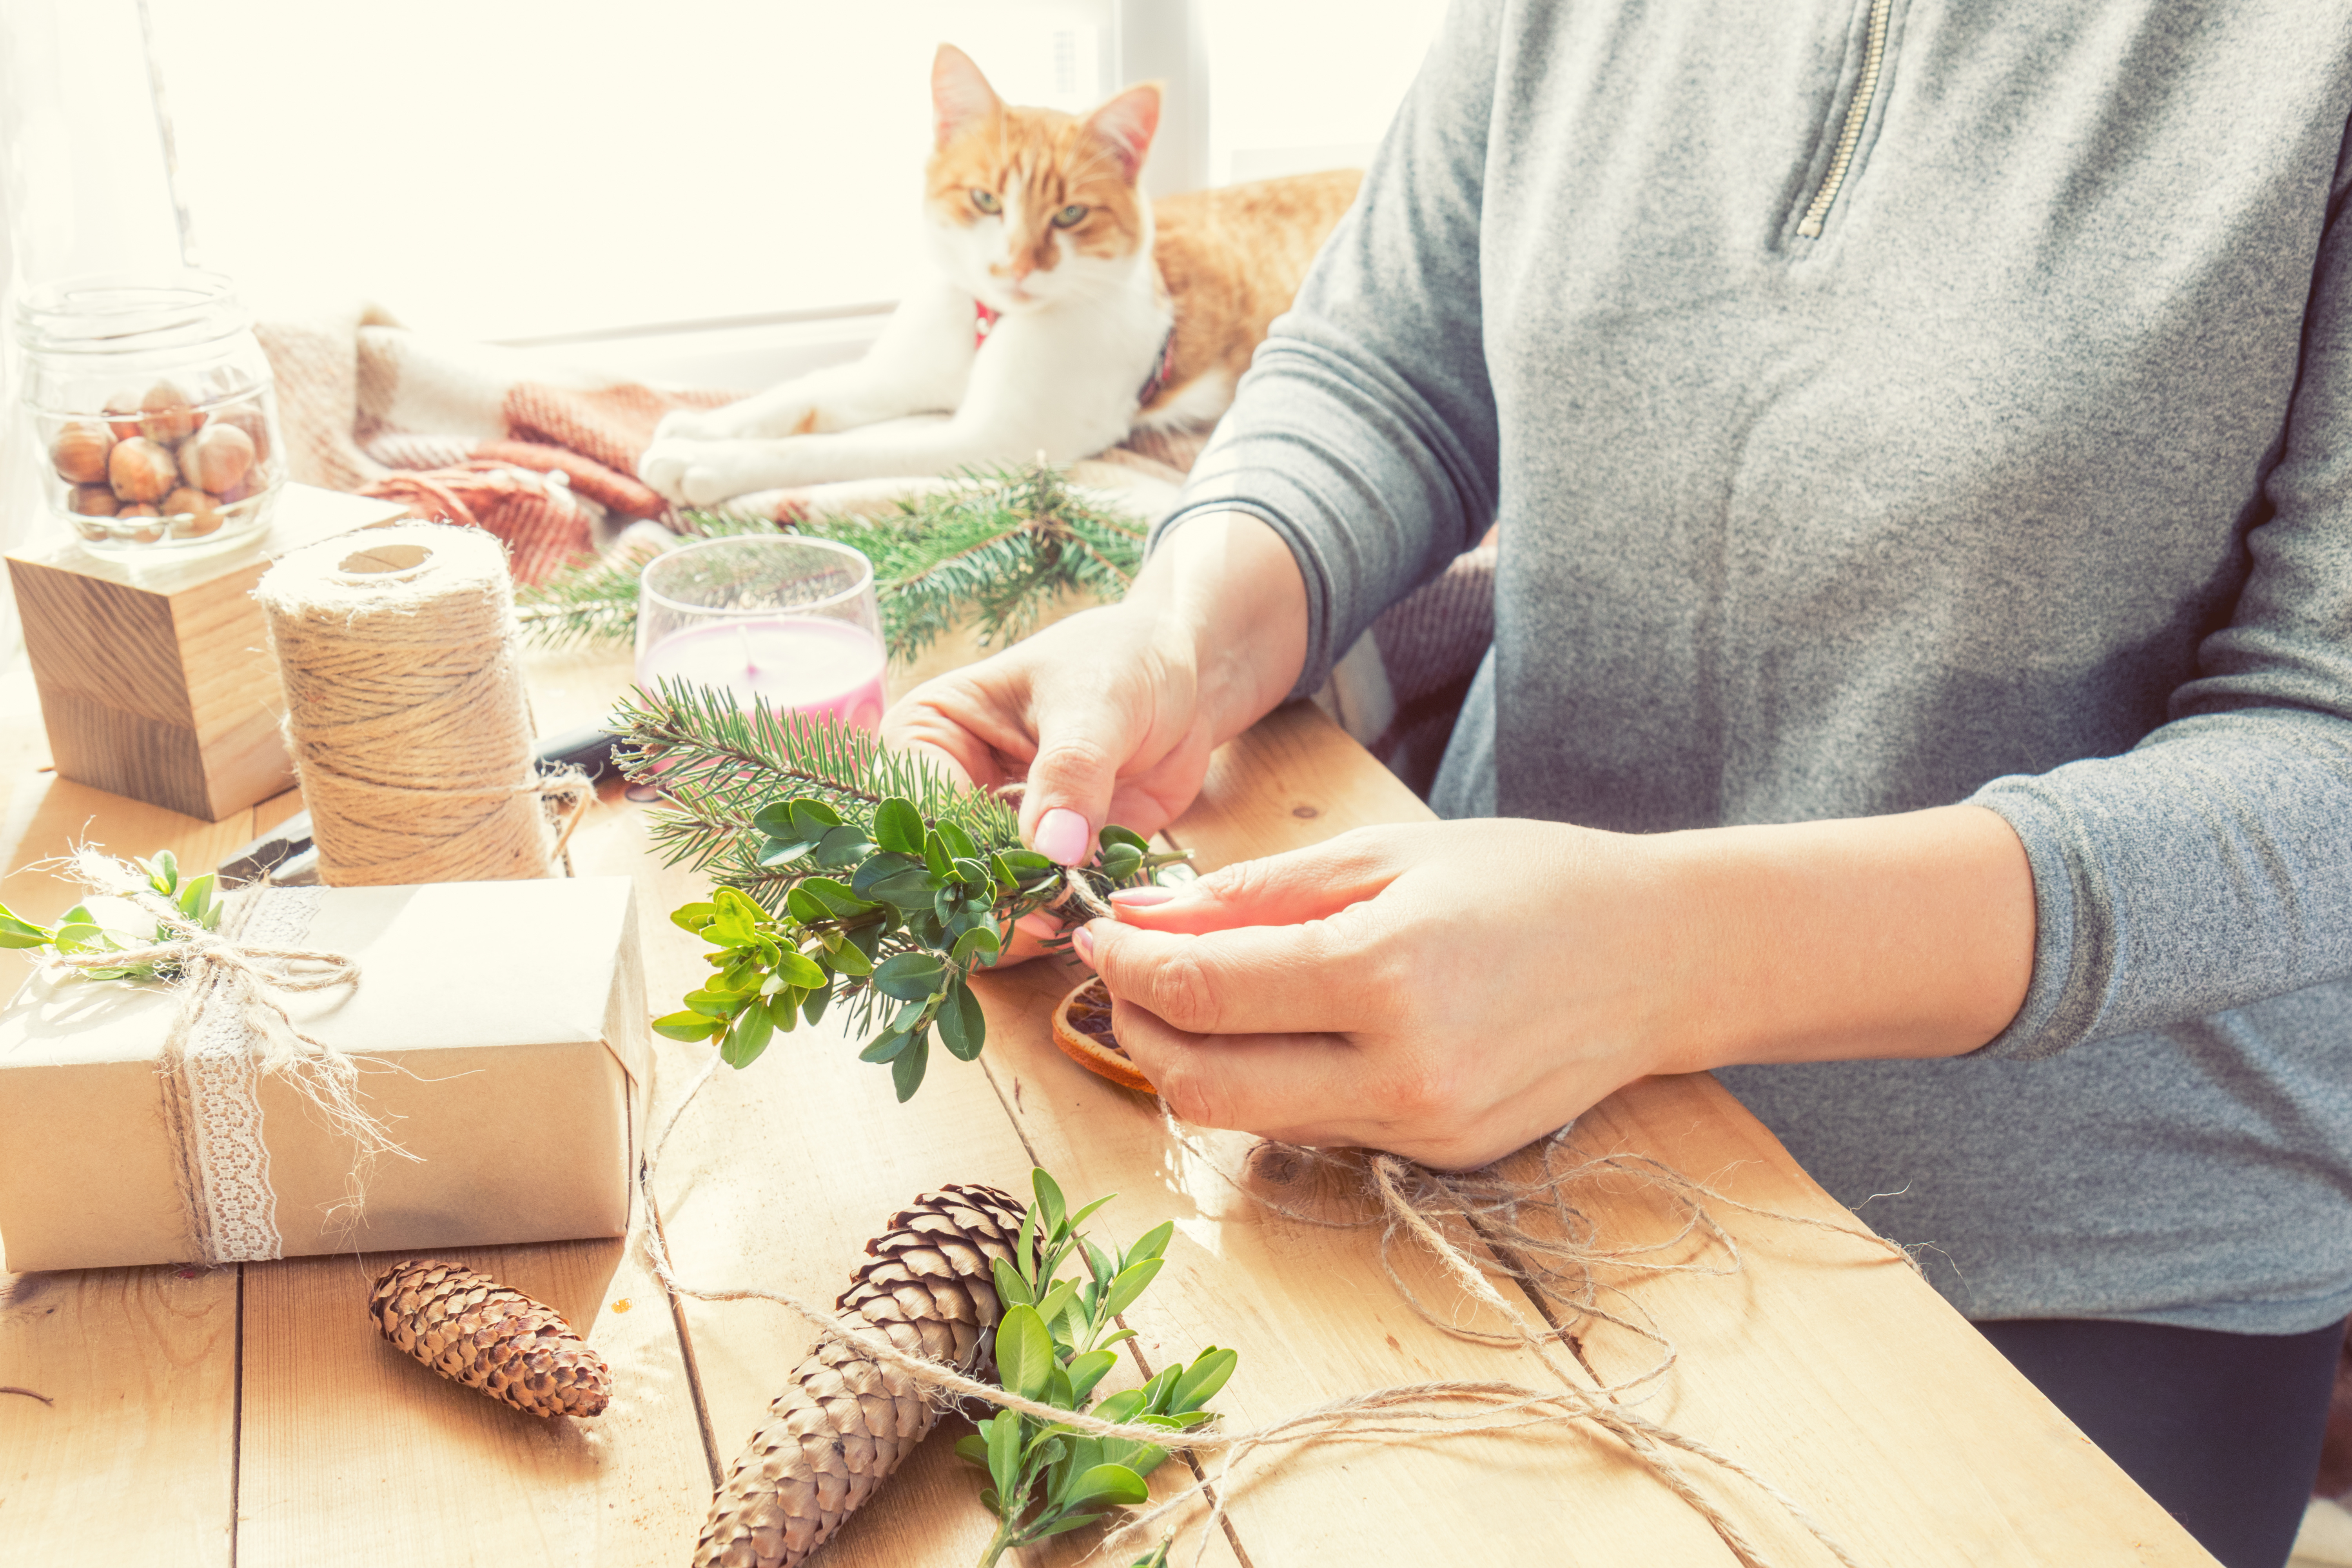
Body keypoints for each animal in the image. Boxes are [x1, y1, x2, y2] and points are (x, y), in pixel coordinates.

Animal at [635, 46, 1364, 510]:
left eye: (1070, 215)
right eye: (986, 200)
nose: (1014, 264)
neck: (989, 321)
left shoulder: (993, 442)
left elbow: (826, 451)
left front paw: (705, 465)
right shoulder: (889, 376)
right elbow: (799, 396)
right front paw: (697, 428)